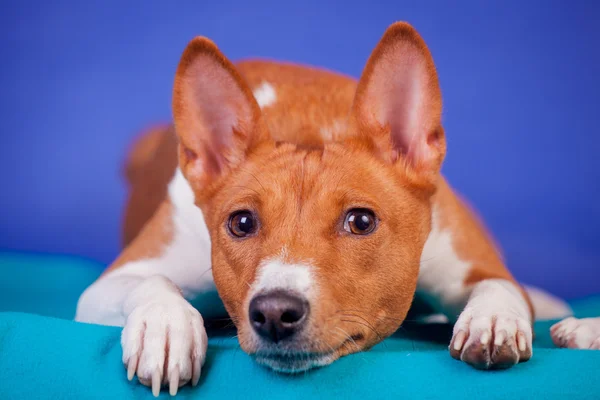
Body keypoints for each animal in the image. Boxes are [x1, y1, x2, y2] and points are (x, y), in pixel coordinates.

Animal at [75, 21, 600, 396]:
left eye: (361, 221)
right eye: (241, 222)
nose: (274, 312)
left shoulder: (473, 266)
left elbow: (498, 287)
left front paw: (492, 321)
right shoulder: (109, 285)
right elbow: (149, 281)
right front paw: (164, 327)